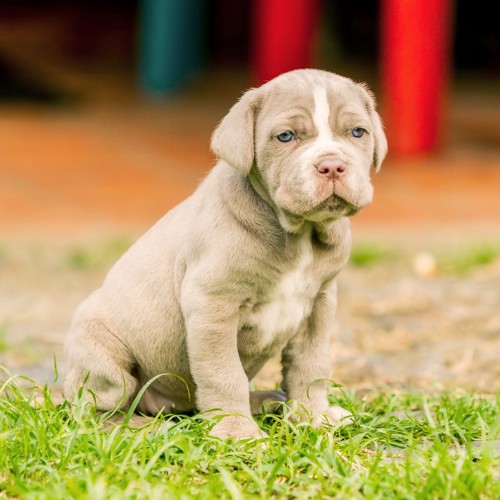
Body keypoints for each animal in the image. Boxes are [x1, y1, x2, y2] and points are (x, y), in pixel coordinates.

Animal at [64, 68, 388, 440]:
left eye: (357, 132)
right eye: (286, 136)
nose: (332, 166)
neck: (299, 234)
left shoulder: (319, 304)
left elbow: (311, 363)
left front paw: (313, 415)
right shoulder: (212, 305)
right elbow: (223, 373)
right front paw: (238, 432)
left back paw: (265, 401)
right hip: (101, 351)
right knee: (96, 409)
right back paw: (142, 427)